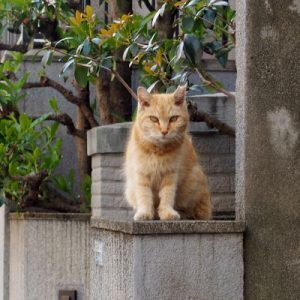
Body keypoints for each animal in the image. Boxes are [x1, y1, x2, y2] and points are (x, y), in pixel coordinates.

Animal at [123, 84, 211, 220]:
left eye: (173, 119)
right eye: (154, 119)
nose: (164, 131)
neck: (158, 150)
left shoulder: (170, 174)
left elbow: (167, 195)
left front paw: (167, 212)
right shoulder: (141, 174)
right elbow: (144, 195)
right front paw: (145, 212)